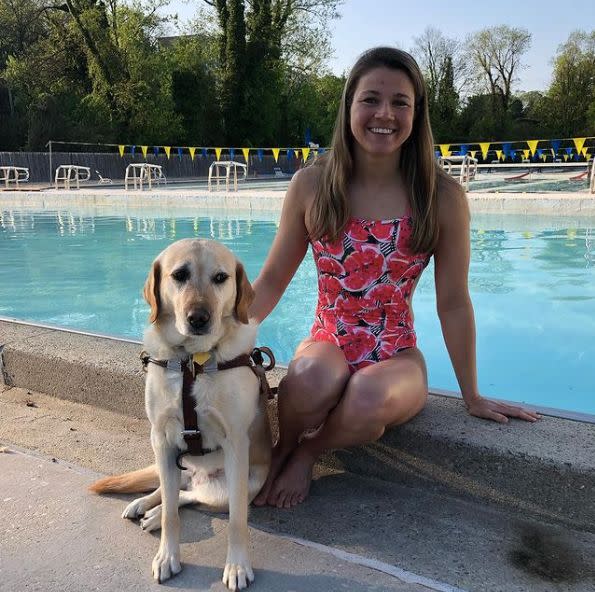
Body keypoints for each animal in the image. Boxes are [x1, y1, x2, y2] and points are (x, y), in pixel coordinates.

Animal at [88, 238, 272, 588]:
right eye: (179, 275)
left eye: (220, 278)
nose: (198, 318)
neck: (192, 362)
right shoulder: (161, 439)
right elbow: (172, 513)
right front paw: (167, 556)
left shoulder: (236, 444)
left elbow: (237, 520)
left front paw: (237, 566)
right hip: (172, 462)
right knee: (170, 491)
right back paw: (146, 507)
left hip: (238, 484)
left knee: (192, 496)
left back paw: (152, 514)